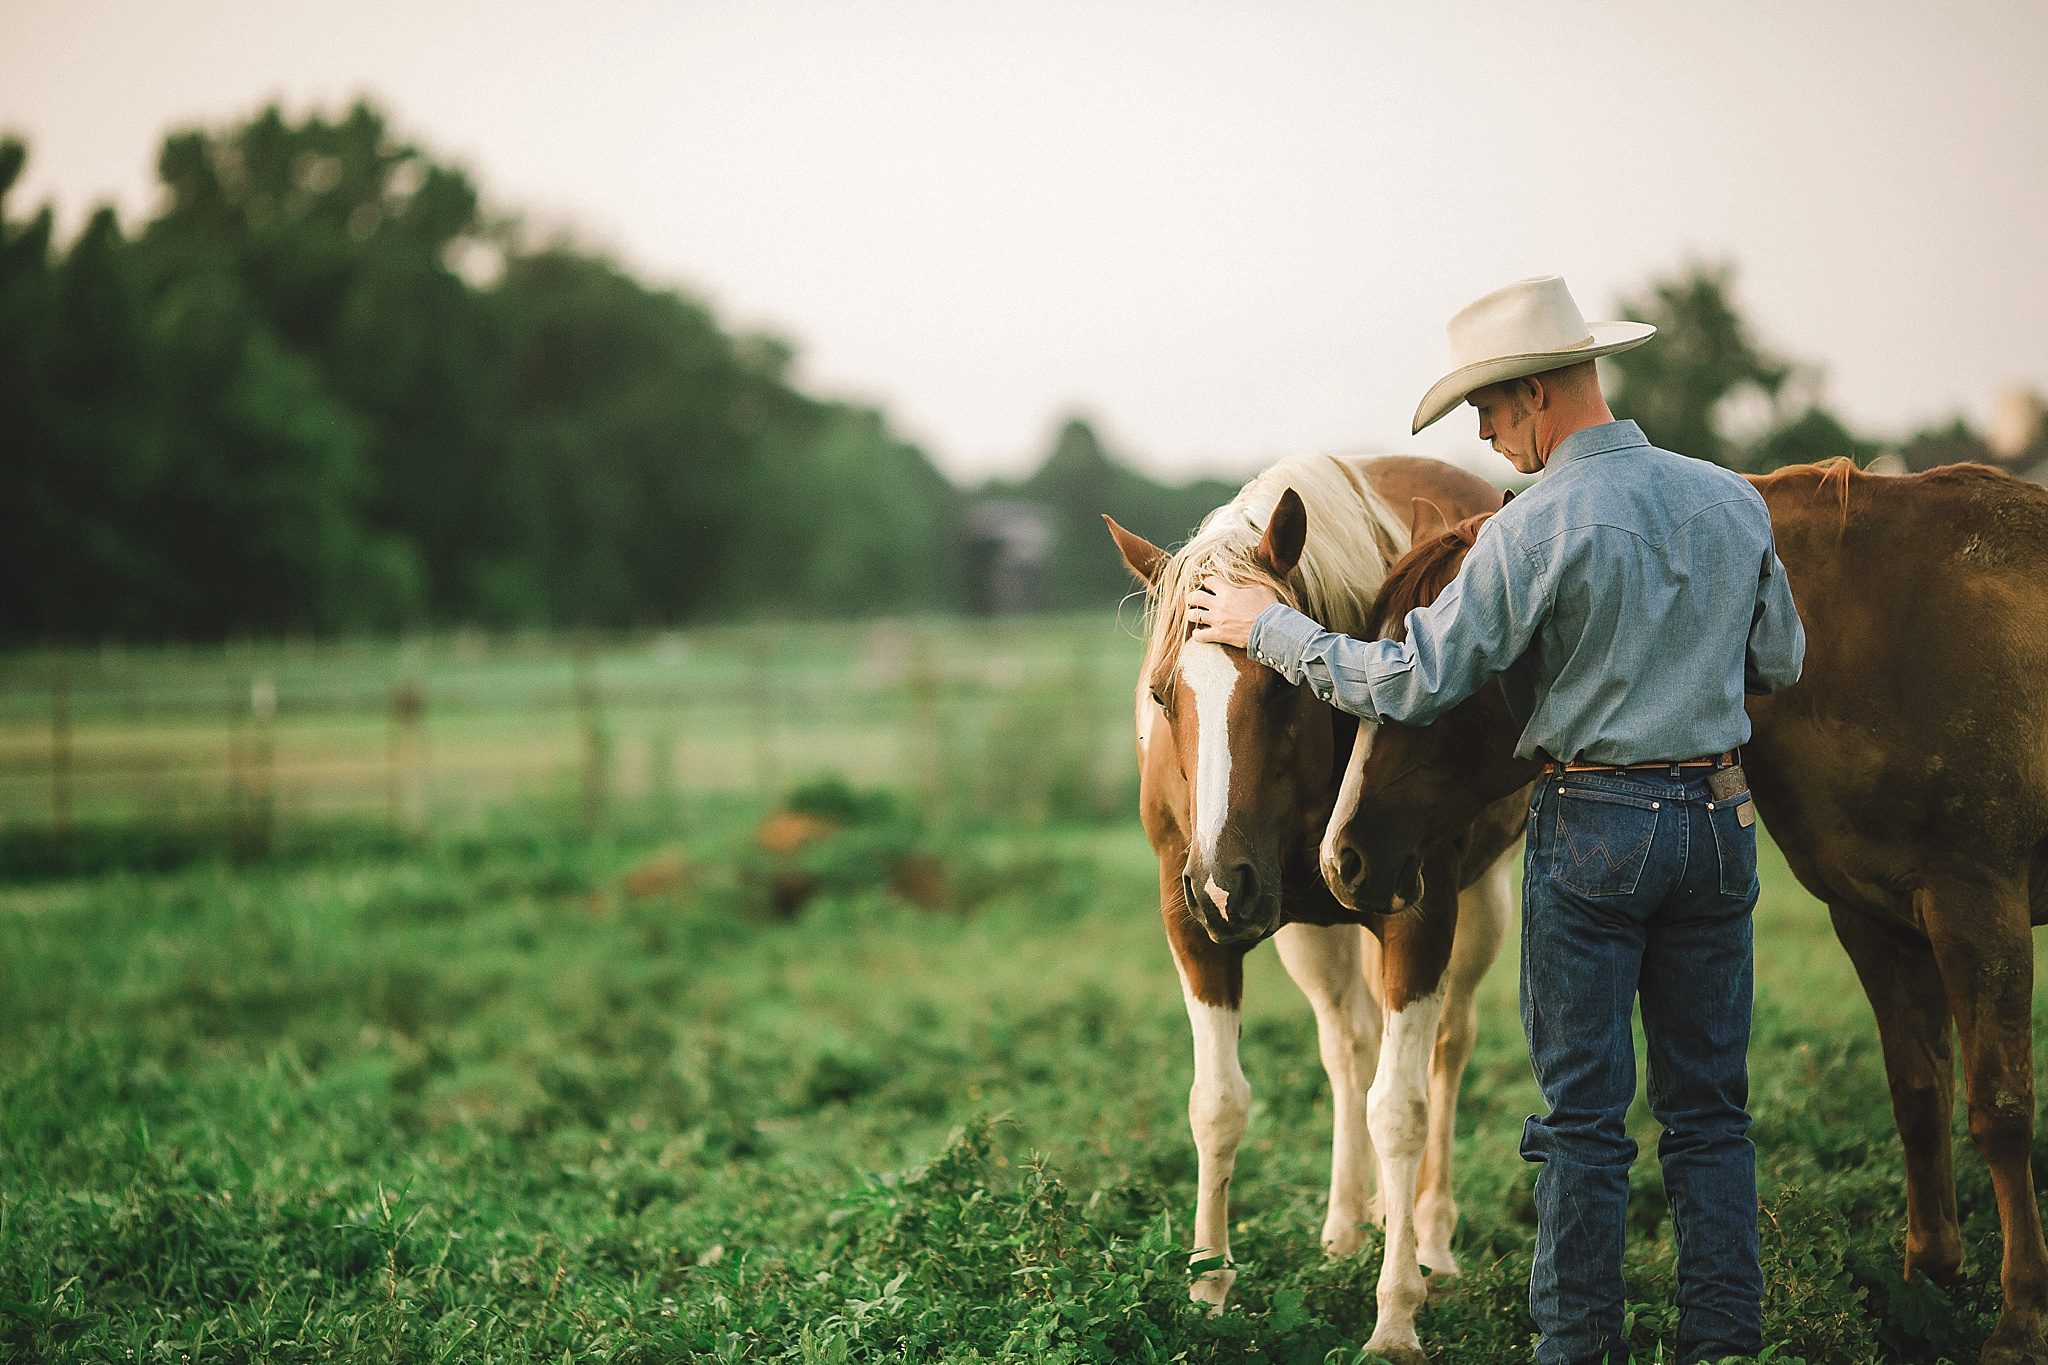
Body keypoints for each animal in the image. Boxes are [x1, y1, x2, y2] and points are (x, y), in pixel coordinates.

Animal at [1105, 456, 1523, 1365]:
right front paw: (1208, 1291)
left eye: (1279, 688)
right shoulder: (1194, 928)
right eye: (1163, 695)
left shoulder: (1417, 916)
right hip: (1304, 934)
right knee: (1348, 1047)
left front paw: (1396, 1318)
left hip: (1477, 909)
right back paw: (1346, 1227)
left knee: (1445, 1051)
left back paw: (1429, 1238)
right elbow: (1218, 1102)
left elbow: (1400, 1110)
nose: (1223, 881)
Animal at [1318, 462, 2048, 1365]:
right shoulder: (1874, 920)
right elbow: (1918, 1095)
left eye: (1438, 670)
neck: (1882, 637)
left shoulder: (1979, 906)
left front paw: (2018, 1318)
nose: (1342, 857)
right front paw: (1930, 1287)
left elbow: (2001, 1108)